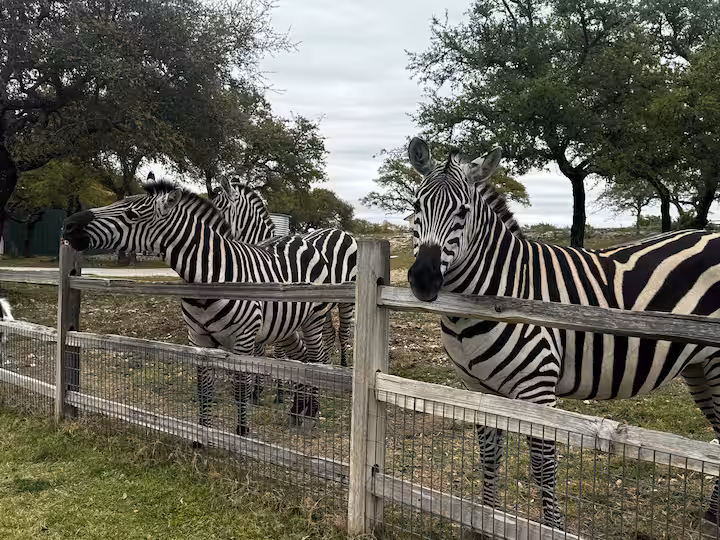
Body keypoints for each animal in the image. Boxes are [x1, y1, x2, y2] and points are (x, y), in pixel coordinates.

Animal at [62, 180, 337, 435]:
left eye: (131, 214)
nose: (68, 225)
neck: (211, 275)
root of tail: (301, 239)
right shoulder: (198, 339)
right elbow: (204, 388)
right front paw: (203, 436)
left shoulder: (244, 341)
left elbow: (241, 389)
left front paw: (242, 435)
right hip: (286, 324)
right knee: (301, 359)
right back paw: (297, 411)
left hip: (314, 319)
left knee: (317, 360)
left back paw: (312, 415)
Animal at [213, 178, 358, 367]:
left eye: (216, 208)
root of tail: (339, 230)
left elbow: (277, 354)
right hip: (323, 306)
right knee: (328, 335)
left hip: (347, 301)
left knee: (343, 333)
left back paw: (343, 365)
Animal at [405, 136, 720, 529]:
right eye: (415, 207)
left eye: (463, 212)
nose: (423, 279)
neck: (499, 289)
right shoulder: (478, 389)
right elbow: (490, 455)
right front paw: (486, 520)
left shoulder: (537, 390)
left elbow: (543, 466)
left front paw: (551, 527)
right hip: (700, 367)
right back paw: (711, 518)